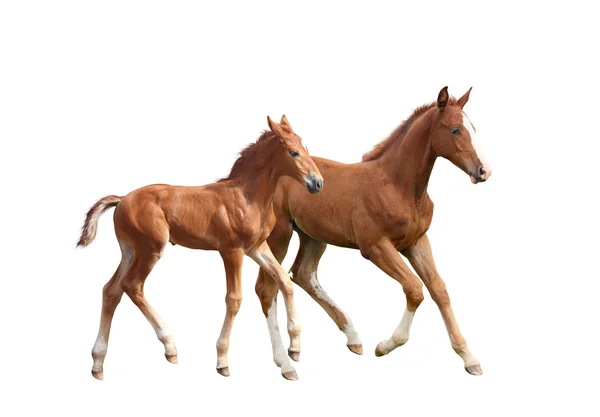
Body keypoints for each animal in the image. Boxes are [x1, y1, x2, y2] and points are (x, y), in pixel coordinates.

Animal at [80, 115, 326, 378]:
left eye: (306, 148)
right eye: (293, 152)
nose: (317, 183)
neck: (247, 195)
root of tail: (122, 199)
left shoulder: (257, 248)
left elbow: (284, 281)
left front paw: (294, 349)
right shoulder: (232, 251)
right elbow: (234, 298)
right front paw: (222, 360)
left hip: (129, 251)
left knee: (111, 291)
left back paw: (98, 363)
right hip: (150, 250)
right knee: (132, 286)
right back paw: (170, 346)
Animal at [255, 87, 490, 374]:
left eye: (473, 128)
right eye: (455, 130)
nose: (483, 171)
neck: (398, 185)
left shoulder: (417, 242)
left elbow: (439, 290)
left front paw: (469, 357)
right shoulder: (375, 247)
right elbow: (414, 288)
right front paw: (386, 345)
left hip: (313, 236)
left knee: (303, 274)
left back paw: (350, 338)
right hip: (279, 236)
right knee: (267, 288)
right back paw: (285, 360)